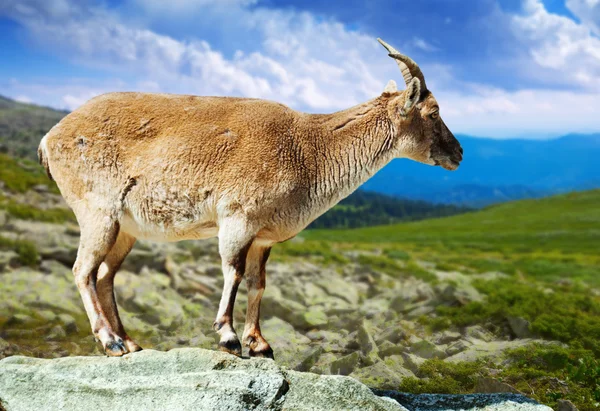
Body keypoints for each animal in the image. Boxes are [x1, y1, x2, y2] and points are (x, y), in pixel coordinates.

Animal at [37, 39, 462, 360]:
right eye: (433, 111)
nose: (458, 154)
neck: (309, 149)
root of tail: (50, 138)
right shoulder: (238, 219)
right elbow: (234, 272)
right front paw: (228, 338)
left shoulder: (263, 236)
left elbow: (259, 283)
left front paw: (260, 344)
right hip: (97, 212)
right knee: (83, 270)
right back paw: (109, 341)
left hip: (126, 228)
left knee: (105, 274)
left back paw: (130, 342)